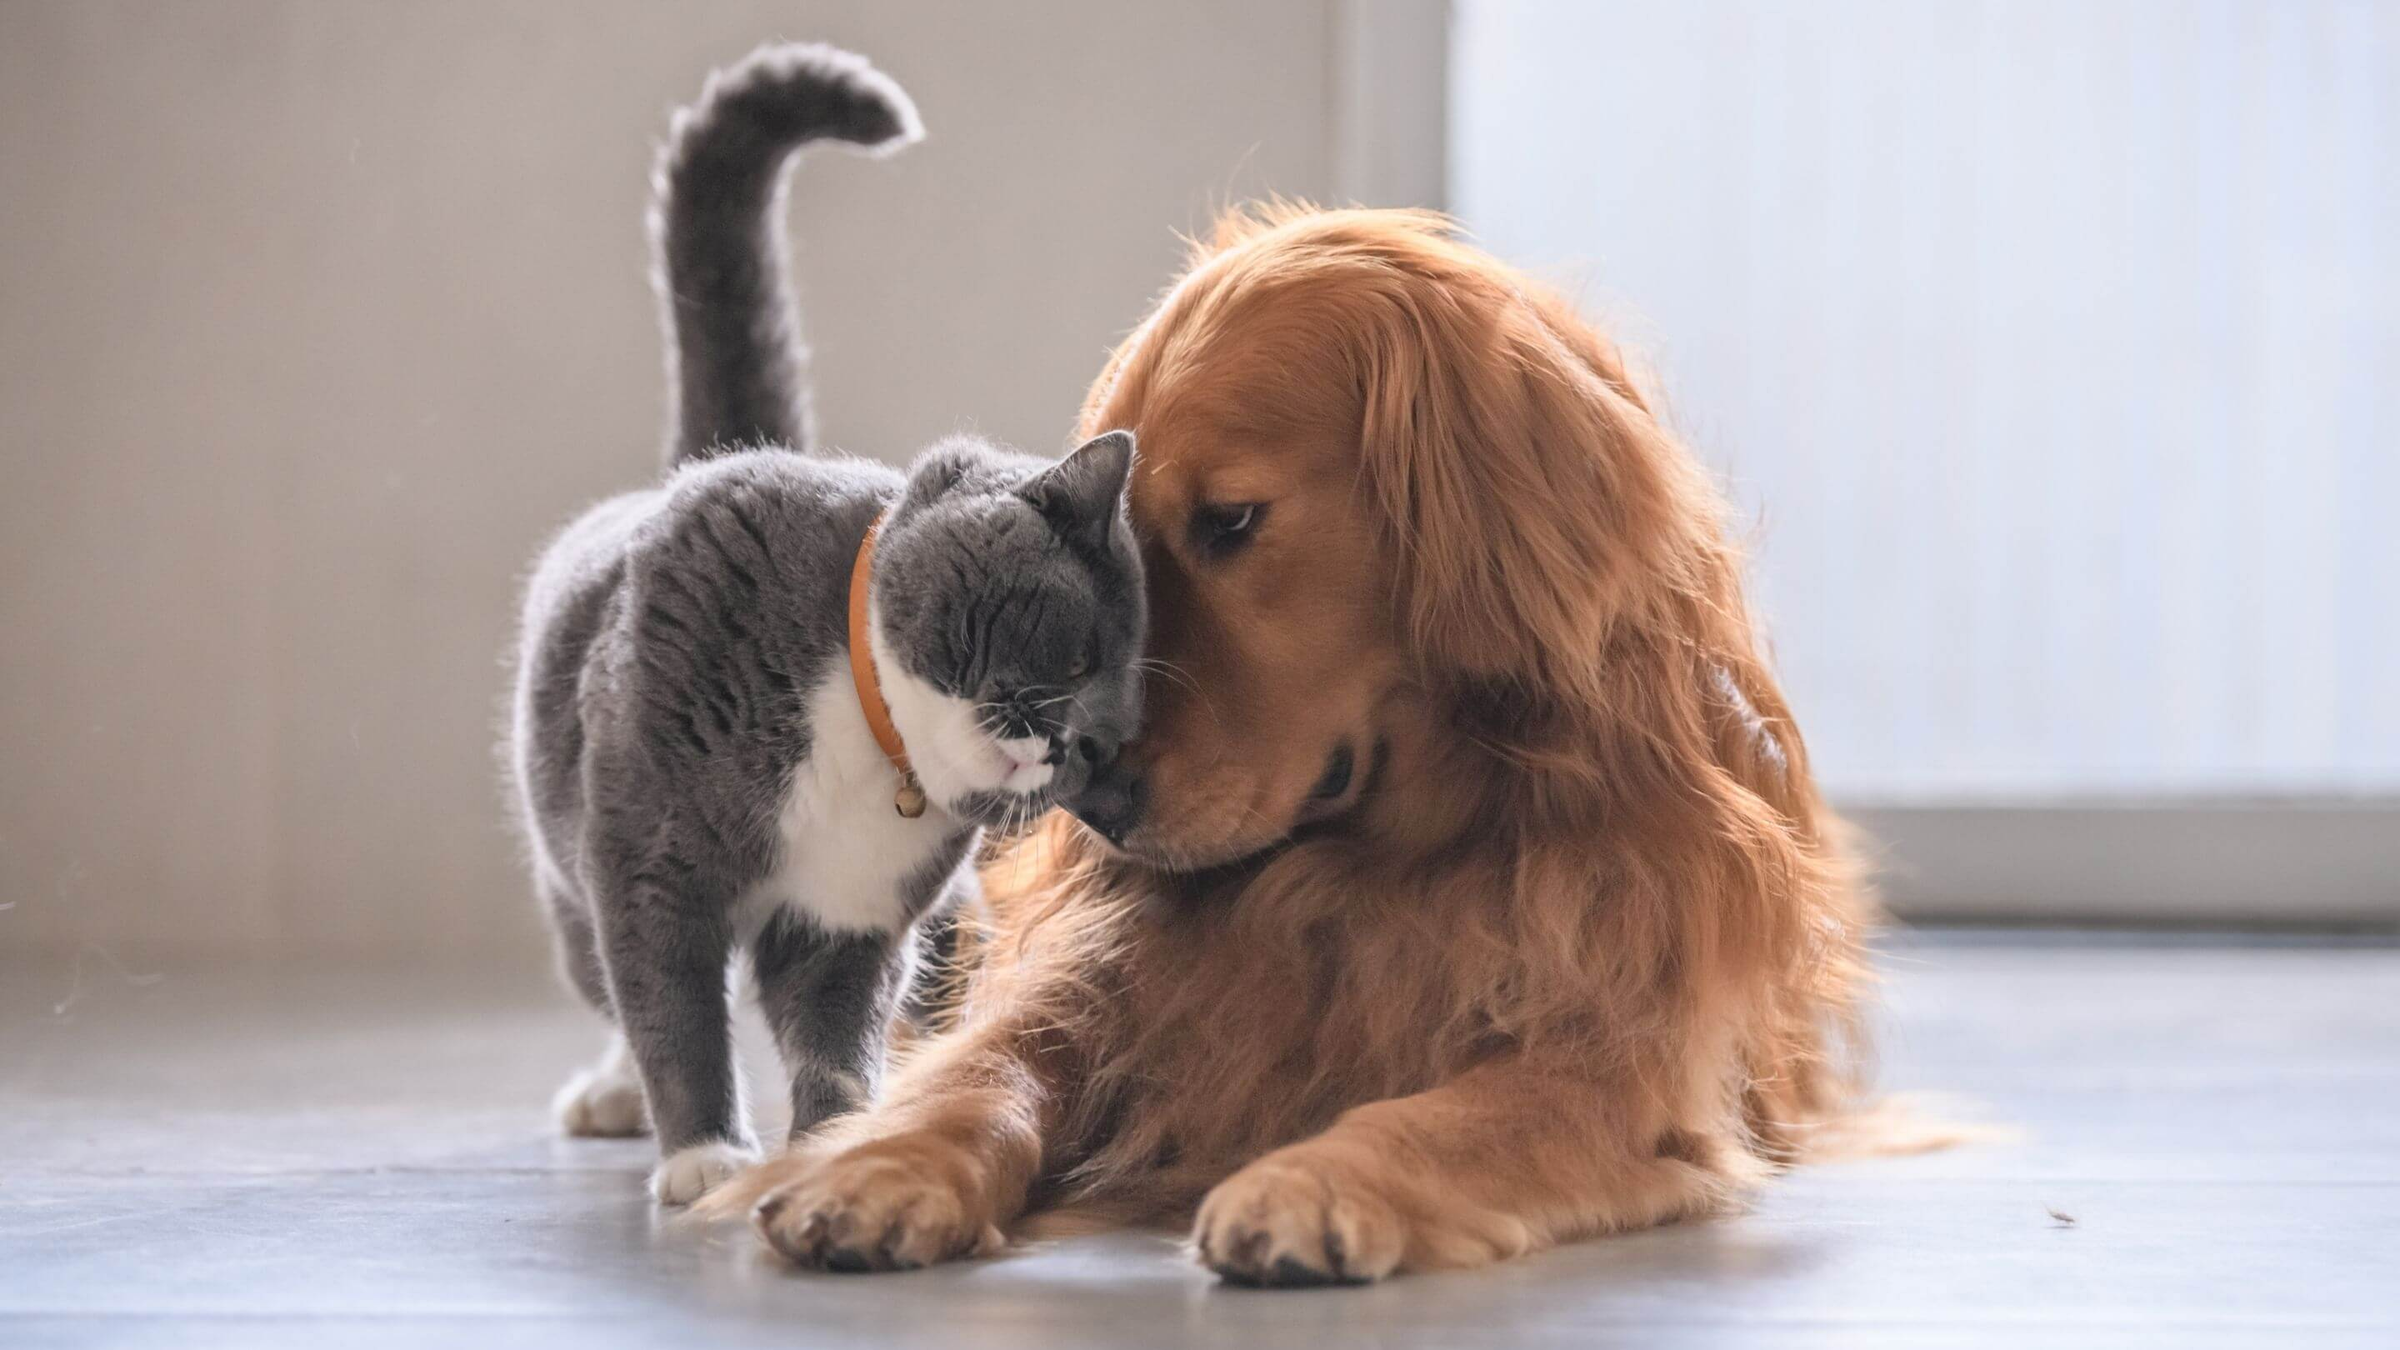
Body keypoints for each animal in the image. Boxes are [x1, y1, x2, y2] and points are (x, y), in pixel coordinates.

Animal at [506, 39, 1142, 1196]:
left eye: (1113, 733)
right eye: (1078, 658)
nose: (1070, 747)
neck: (865, 737)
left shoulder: (852, 917)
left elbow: (835, 1032)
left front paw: (835, 1146)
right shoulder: (648, 863)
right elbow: (672, 1007)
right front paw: (706, 1154)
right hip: (568, 862)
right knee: (607, 981)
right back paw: (615, 1095)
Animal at [710, 205, 1872, 1277]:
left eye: (1230, 521)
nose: (1093, 804)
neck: (1375, 863)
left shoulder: (1621, 1059)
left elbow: (1445, 1115)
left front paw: (1312, 1183)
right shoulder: (1097, 980)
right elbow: (982, 1071)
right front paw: (877, 1165)